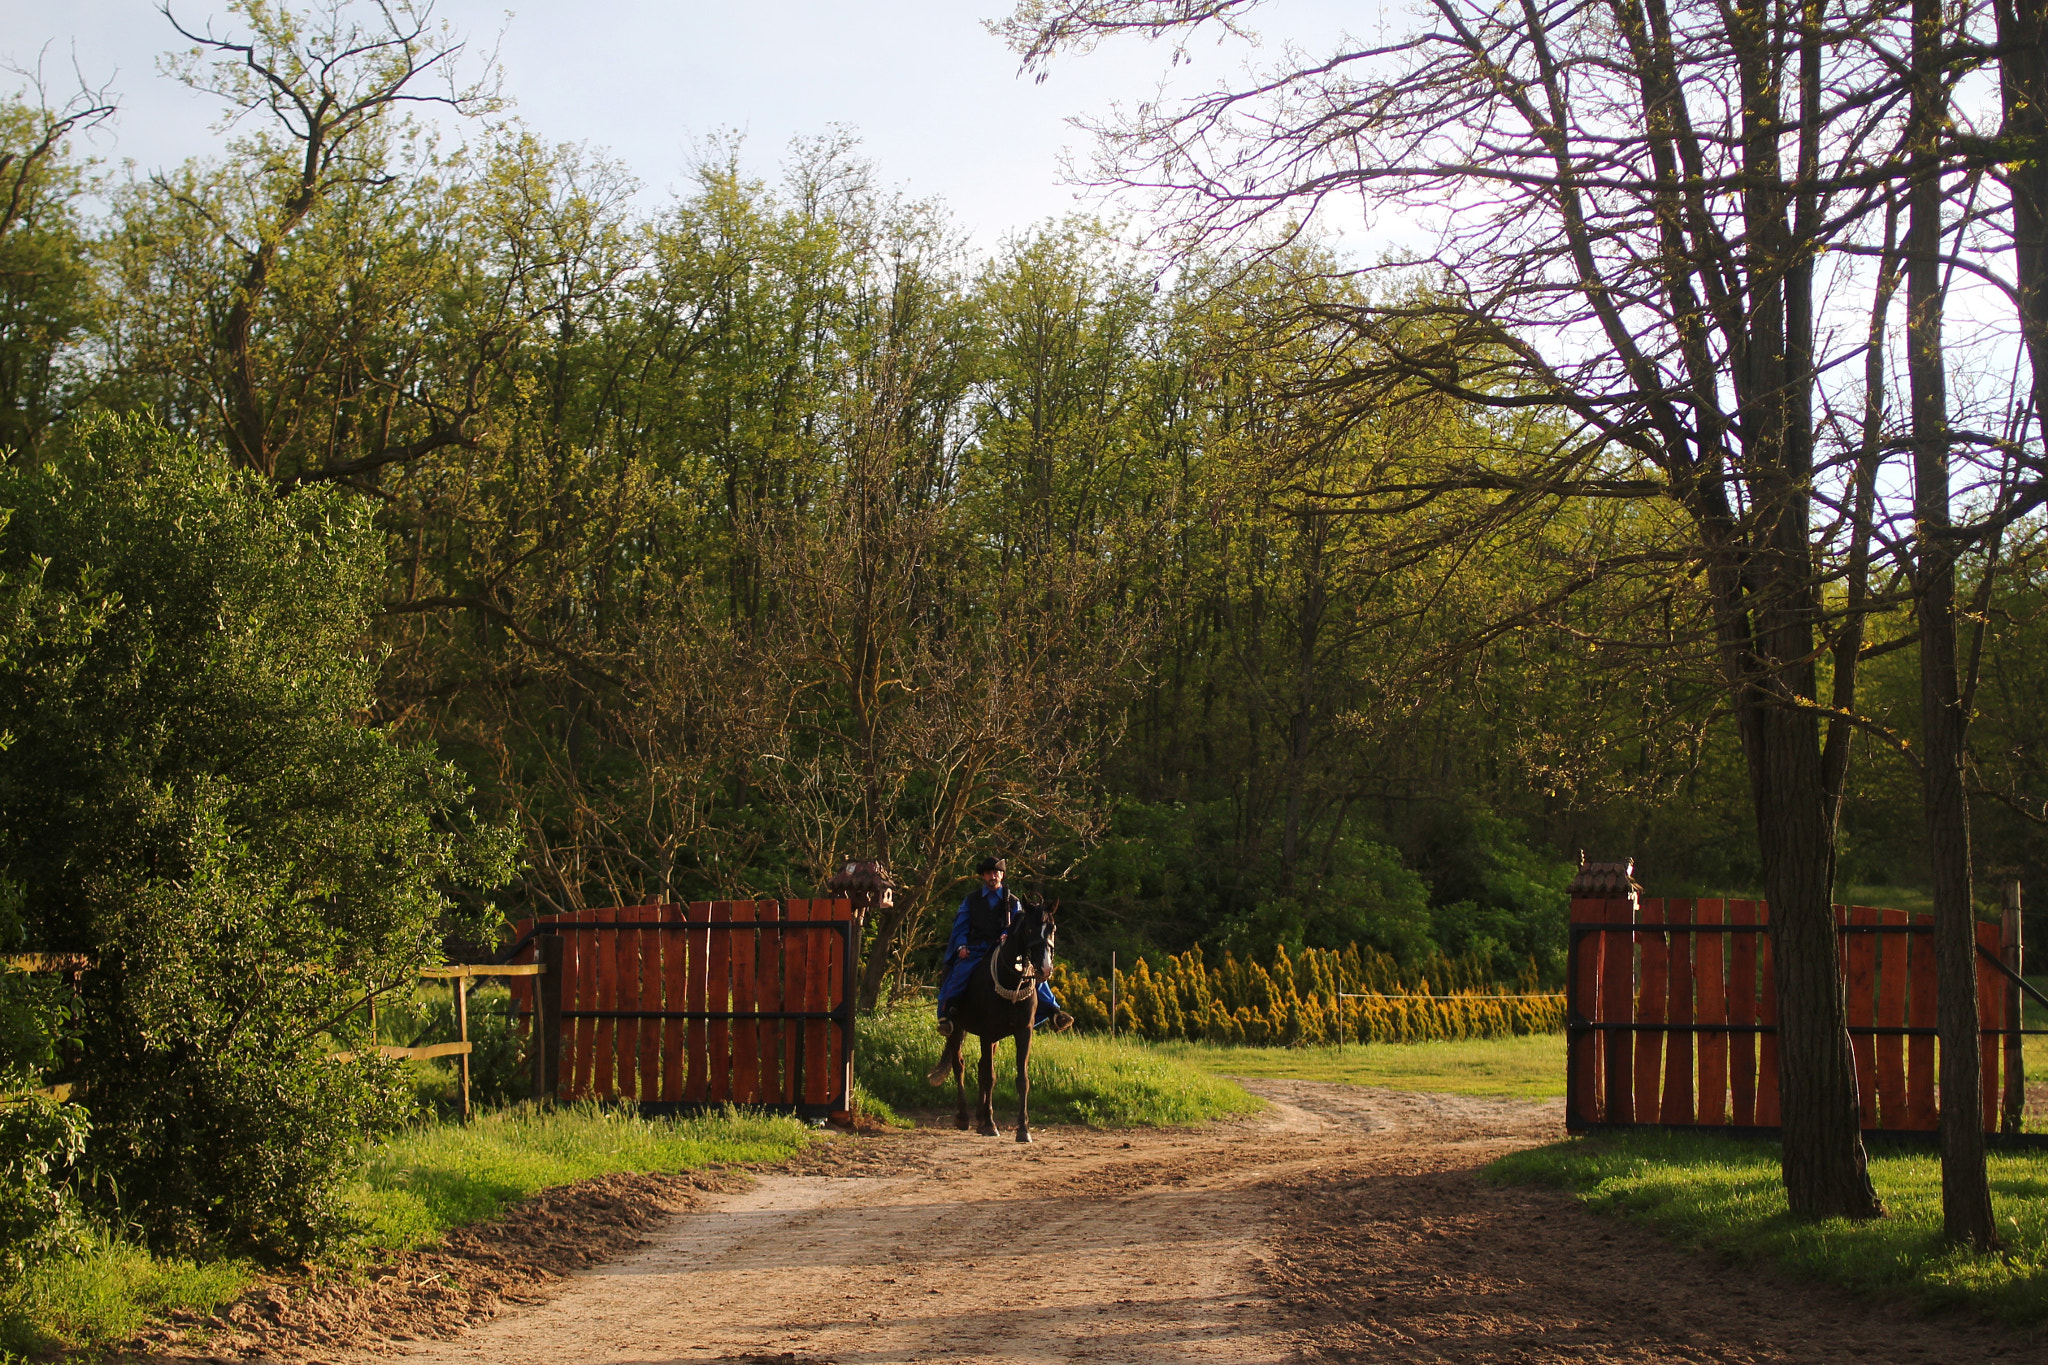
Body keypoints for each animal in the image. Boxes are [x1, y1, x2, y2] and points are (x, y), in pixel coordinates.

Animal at [929, 908, 1056, 1146]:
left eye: (1052, 928)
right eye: (1030, 929)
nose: (1044, 967)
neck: (1010, 981)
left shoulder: (1023, 1032)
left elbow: (1020, 1079)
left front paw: (1023, 1129)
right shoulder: (986, 1033)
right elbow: (988, 1077)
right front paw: (989, 1124)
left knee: (980, 1067)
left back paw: (979, 1117)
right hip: (958, 1029)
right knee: (959, 1064)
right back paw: (964, 1117)